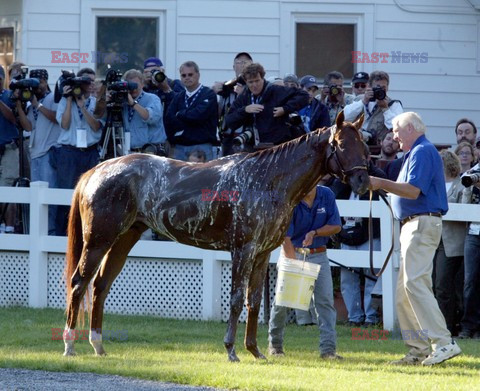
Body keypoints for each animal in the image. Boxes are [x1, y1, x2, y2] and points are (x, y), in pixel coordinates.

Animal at [62, 110, 368, 362]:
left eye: (364, 146)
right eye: (341, 145)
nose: (363, 182)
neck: (266, 180)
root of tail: (96, 170)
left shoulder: (262, 254)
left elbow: (254, 301)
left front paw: (255, 351)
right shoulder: (243, 250)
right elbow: (236, 300)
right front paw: (231, 350)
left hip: (123, 240)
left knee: (100, 286)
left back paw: (98, 346)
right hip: (98, 241)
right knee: (79, 283)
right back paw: (70, 346)